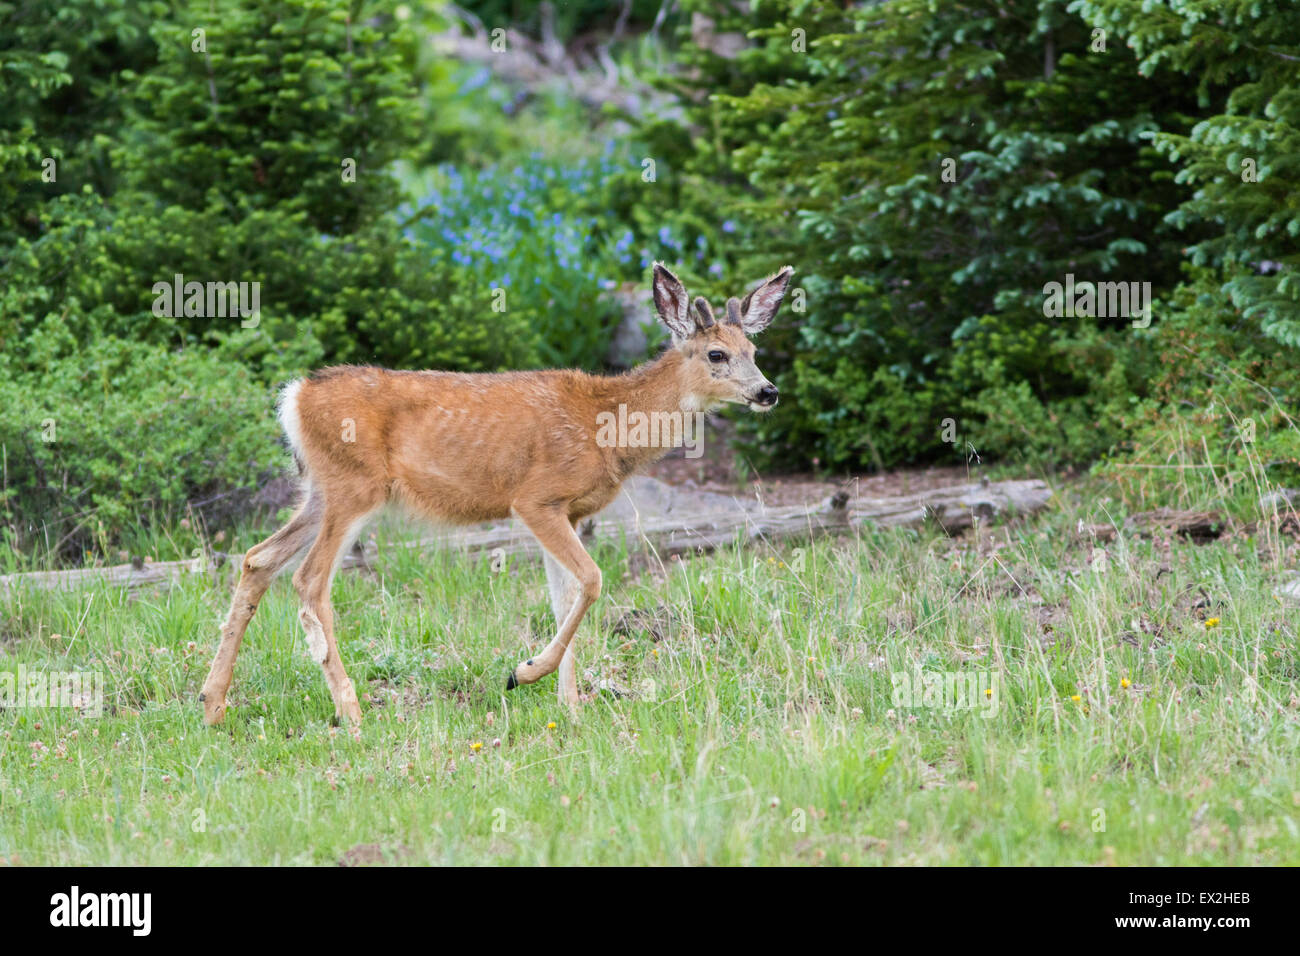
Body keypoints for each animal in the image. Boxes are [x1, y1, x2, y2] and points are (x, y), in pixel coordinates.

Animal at [200, 261, 790, 723]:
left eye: (753, 348)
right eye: (716, 355)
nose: (768, 391)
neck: (608, 425)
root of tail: (294, 396)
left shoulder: (569, 513)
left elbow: (565, 596)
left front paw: (569, 707)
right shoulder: (534, 498)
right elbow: (593, 581)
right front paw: (523, 673)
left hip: (320, 489)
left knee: (257, 558)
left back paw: (213, 703)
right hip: (353, 486)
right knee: (308, 581)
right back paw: (350, 710)